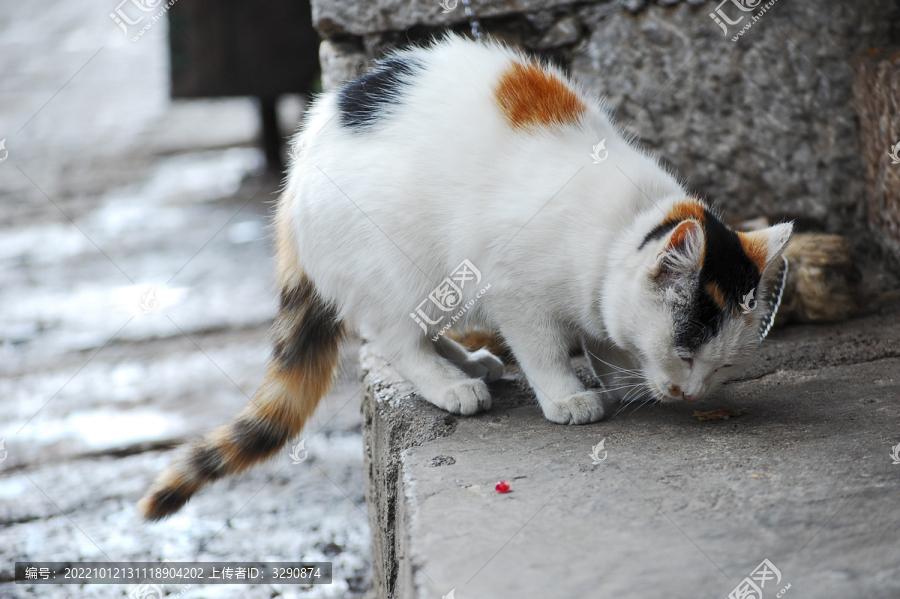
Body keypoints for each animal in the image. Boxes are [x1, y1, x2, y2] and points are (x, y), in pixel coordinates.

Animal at [137, 38, 792, 520]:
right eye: (686, 352)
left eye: (720, 365)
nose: (691, 393)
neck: (617, 229)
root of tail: (293, 181)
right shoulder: (515, 291)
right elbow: (542, 346)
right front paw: (569, 395)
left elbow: (605, 336)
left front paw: (617, 374)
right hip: (397, 268)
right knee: (390, 339)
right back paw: (452, 384)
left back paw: (470, 363)